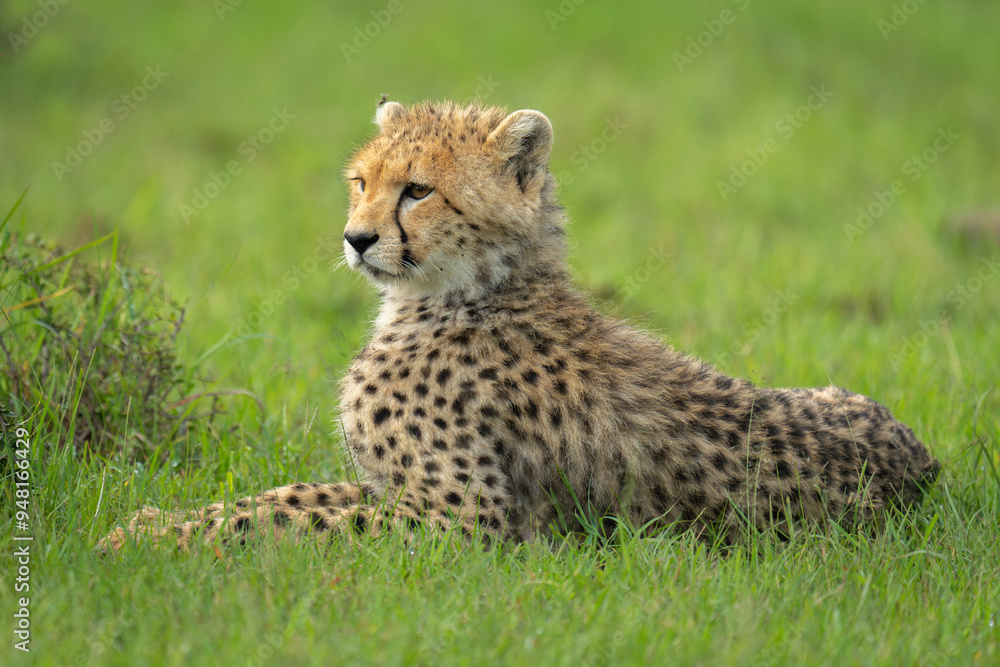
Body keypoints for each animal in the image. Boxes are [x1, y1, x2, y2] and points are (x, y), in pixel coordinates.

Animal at [97, 100, 940, 553]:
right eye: (361, 182)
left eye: (418, 191)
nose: (356, 238)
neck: (474, 289)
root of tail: (926, 467)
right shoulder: (397, 487)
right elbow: (297, 492)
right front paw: (155, 518)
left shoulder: (467, 519)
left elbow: (298, 513)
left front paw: (144, 538)